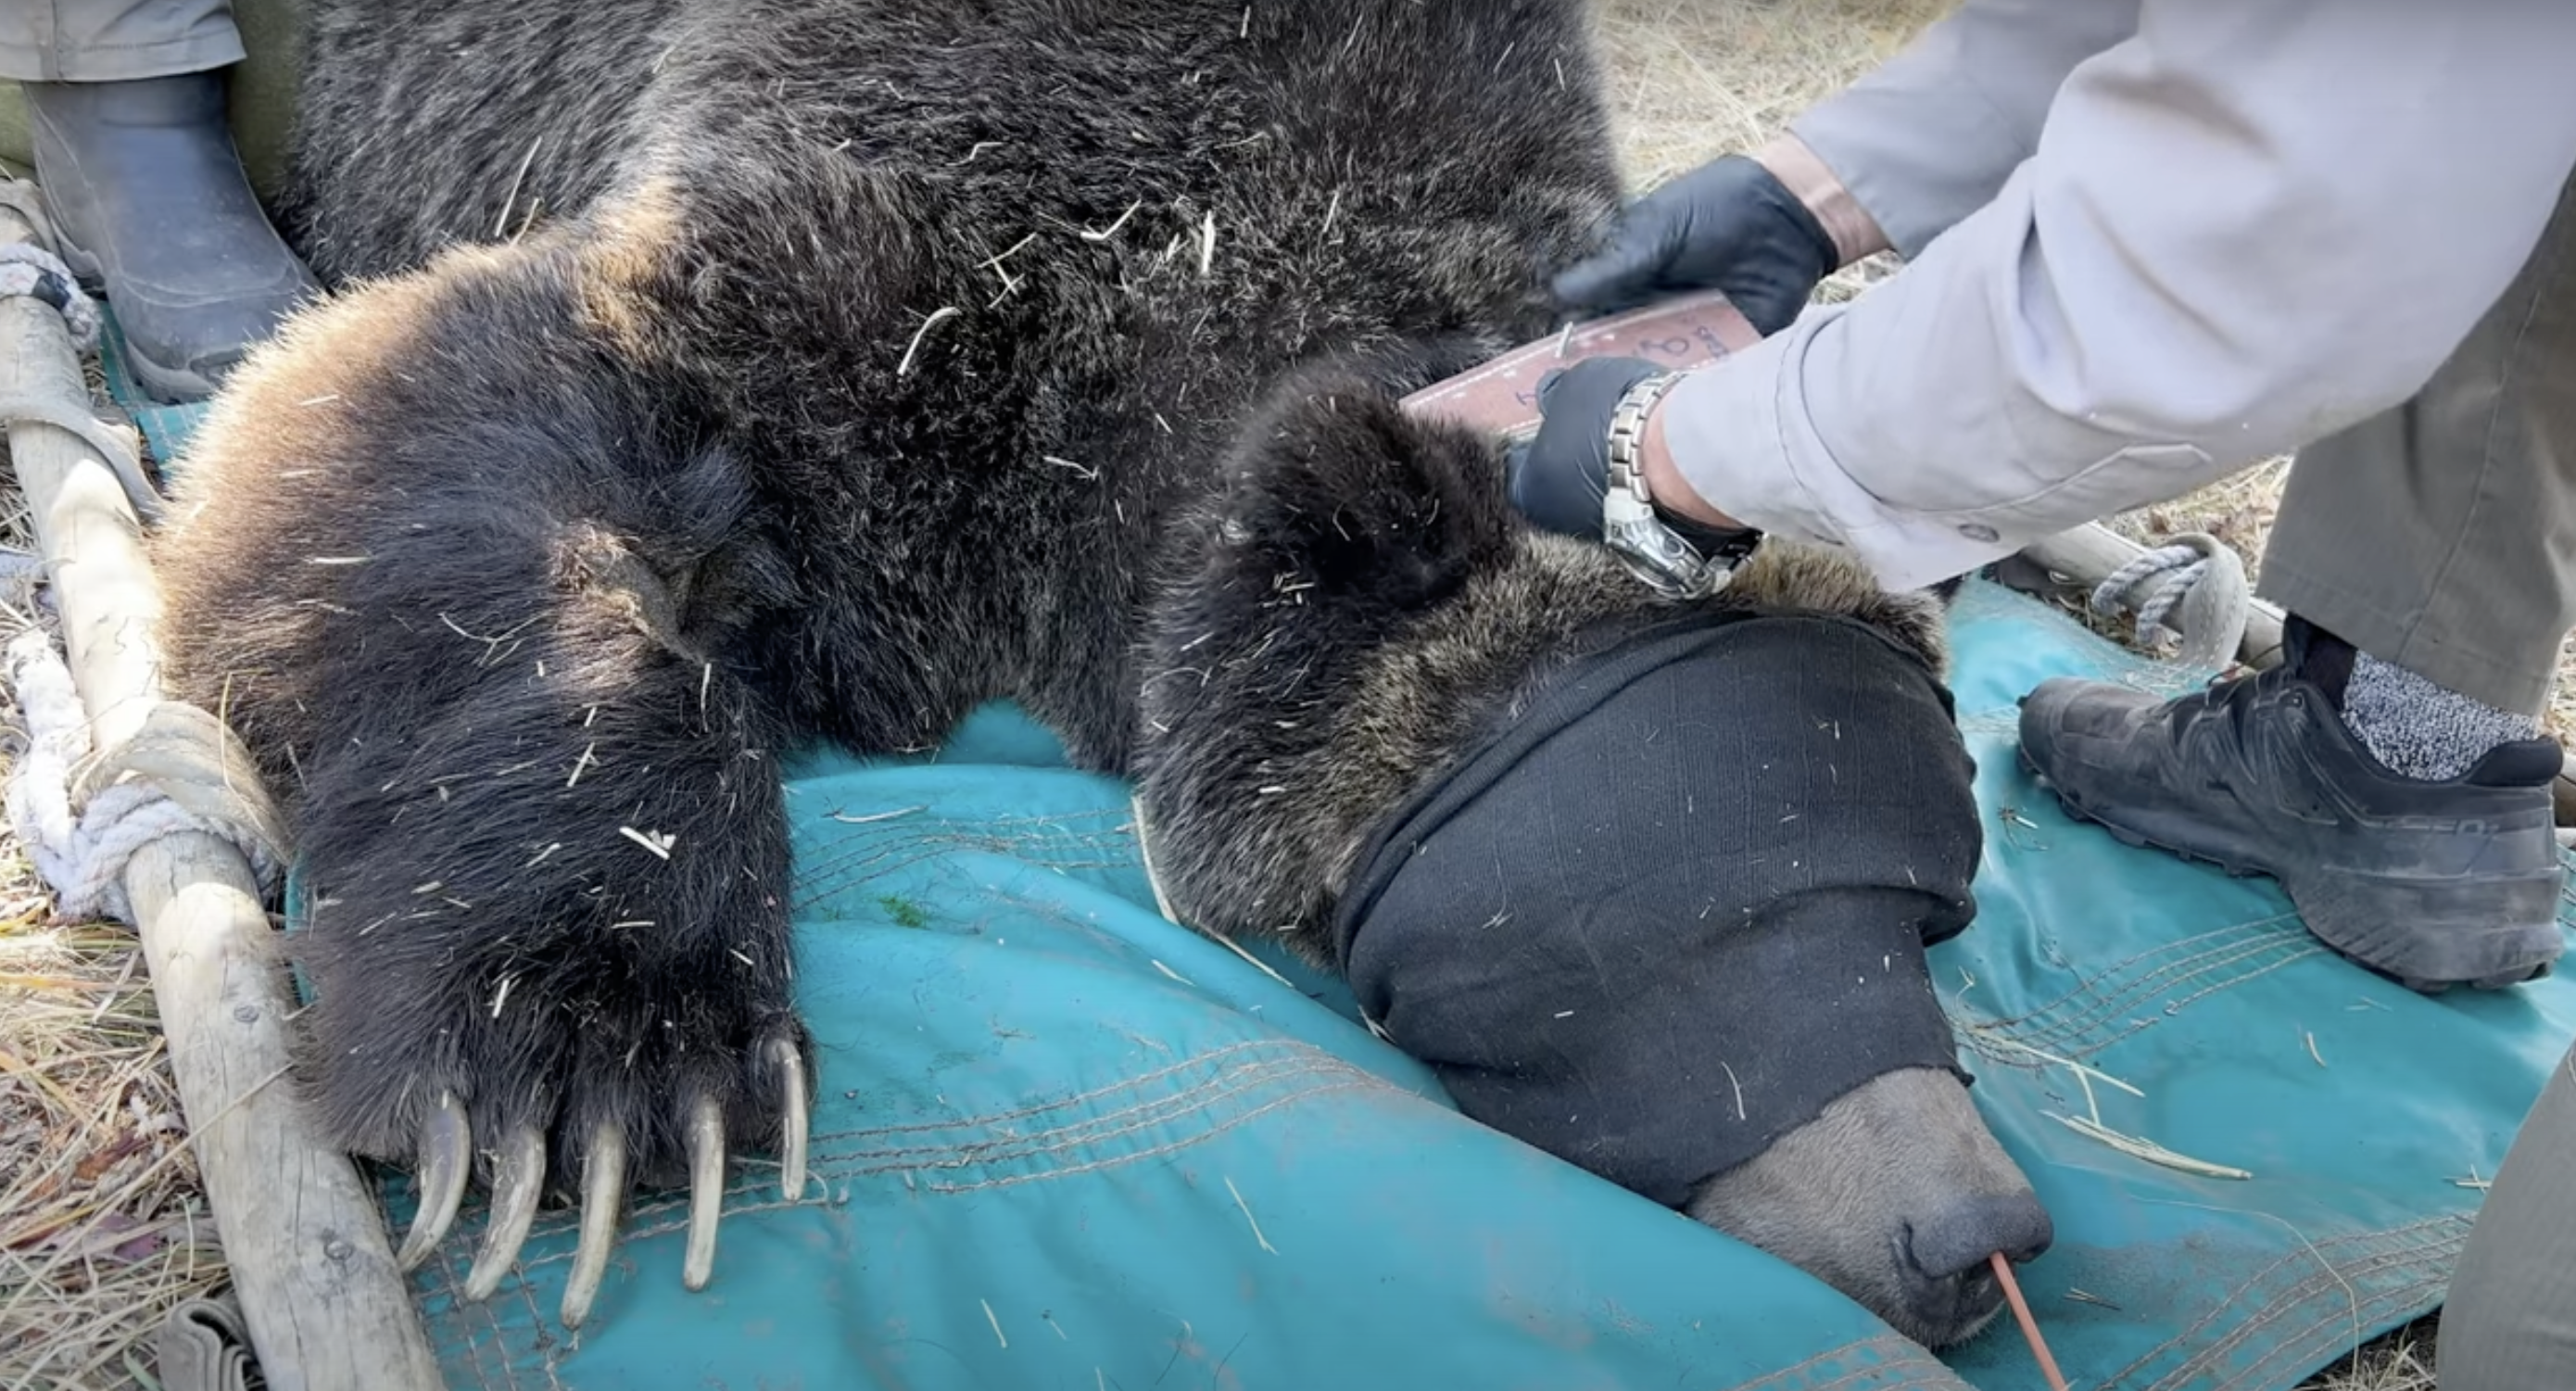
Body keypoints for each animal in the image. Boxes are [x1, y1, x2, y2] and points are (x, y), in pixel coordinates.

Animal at [144, 0, 2050, 1351]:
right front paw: (601, 1057)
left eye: (1925, 901)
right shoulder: (861, 245)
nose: (1968, 1233)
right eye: (1668, 904)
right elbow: (431, 400)